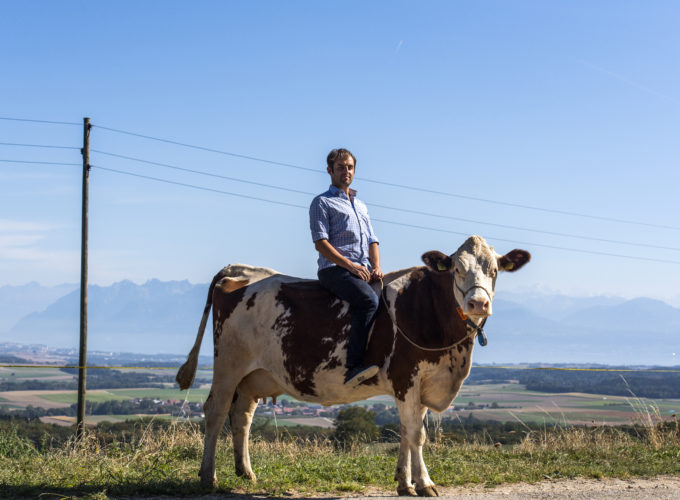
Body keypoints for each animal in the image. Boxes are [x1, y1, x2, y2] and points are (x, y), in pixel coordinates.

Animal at [178, 236, 528, 494]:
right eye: (455, 269)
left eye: (495, 271)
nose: (478, 303)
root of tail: (241, 274)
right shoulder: (406, 377)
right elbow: (416, 435)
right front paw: (424, 484)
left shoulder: (423, 382)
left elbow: (406, 431)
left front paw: (404, 482)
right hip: (229, 364)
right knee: (215, 411)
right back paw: (208, 477)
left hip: (254, 376)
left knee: (242, 416)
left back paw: (246, 473)